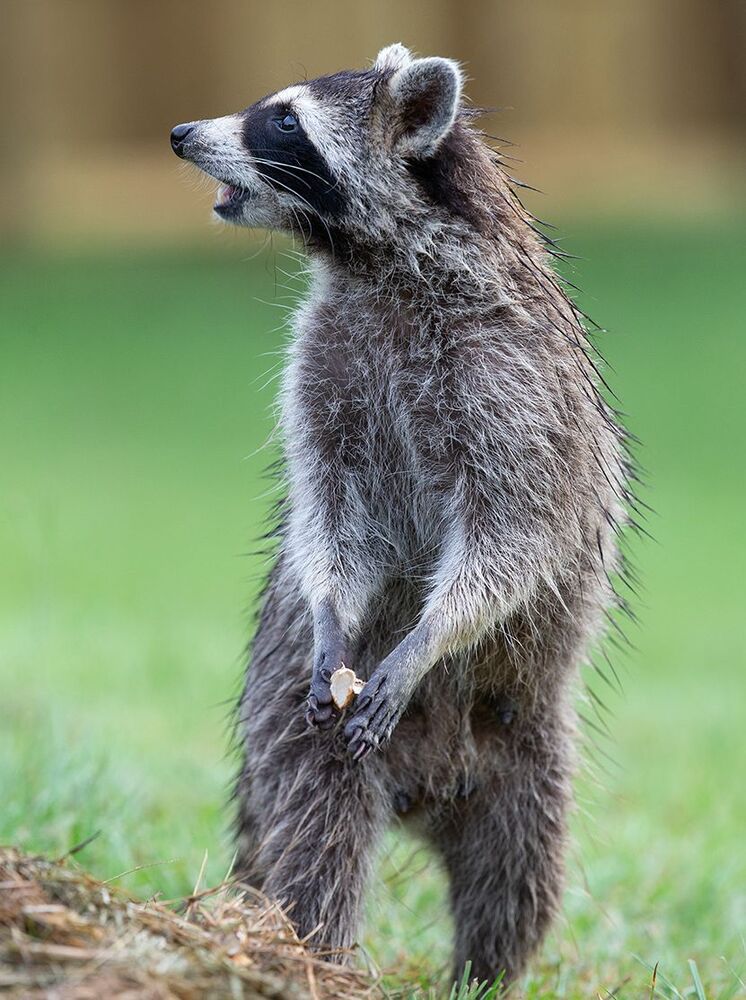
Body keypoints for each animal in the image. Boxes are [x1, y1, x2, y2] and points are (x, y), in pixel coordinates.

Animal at [171, 43, 631, 985]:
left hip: (527, 752)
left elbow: (515, 533)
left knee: (518, 876)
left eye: (283, 120)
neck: (375, 262)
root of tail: (429, 792)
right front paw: (329, 610)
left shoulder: (514, 381)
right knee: (319, 838)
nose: (181, 133)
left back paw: (481, 975)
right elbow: (332, 515)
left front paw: (433, 634)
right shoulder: (324, 359)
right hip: (295, 733)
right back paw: (317, 949)